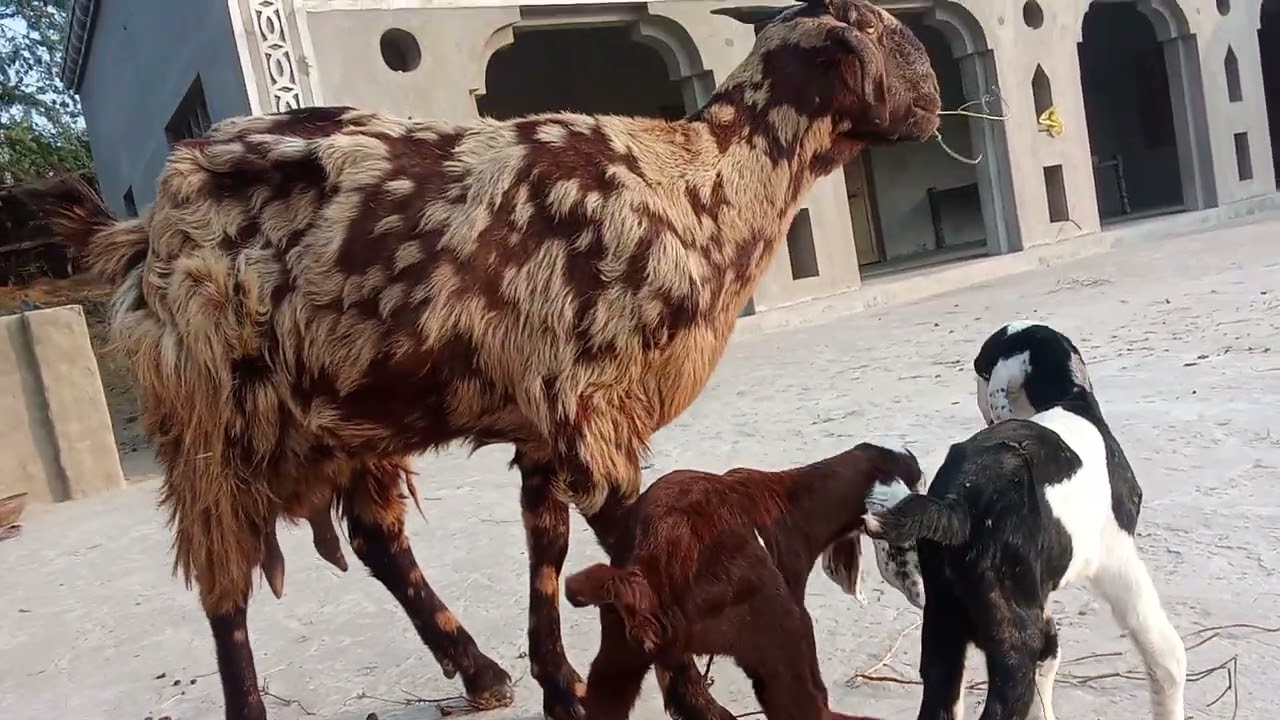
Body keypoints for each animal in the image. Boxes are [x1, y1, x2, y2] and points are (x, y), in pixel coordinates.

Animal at [864, 322, 1186, 720]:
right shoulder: (1116, 557)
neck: (1069, 400)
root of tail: (956, 507)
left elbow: (1049, 665)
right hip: (1013, 640)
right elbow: (1166, 655)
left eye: (982, 369)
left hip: (944, 632)